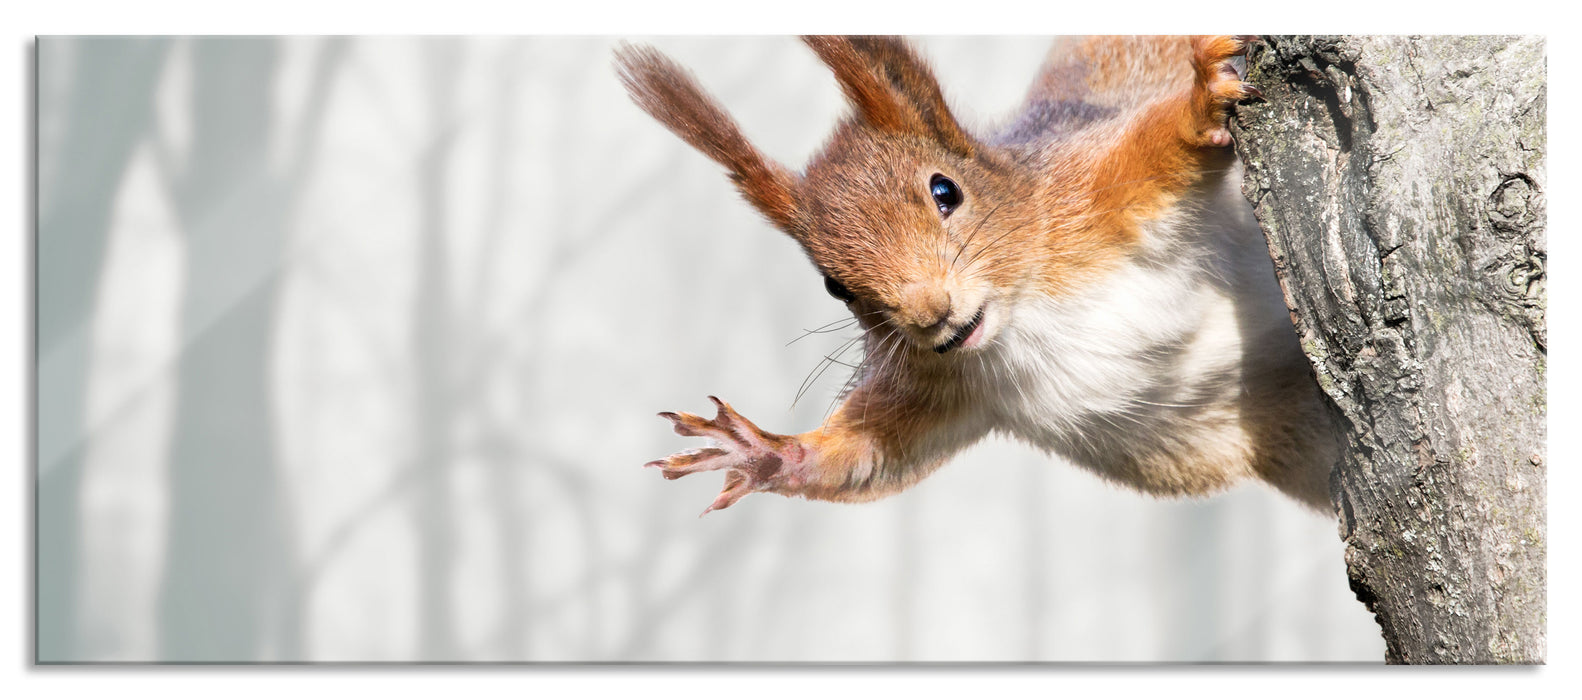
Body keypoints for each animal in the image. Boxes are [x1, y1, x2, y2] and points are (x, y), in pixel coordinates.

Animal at [616, 36, 1339, 516]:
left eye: (946, 191)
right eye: (833, 286)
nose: (930, 316)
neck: (1024, 313)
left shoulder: (1092, 191)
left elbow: (1159, 144)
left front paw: (1201, 101)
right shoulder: (939, 384)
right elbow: (869, 455)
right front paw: (760, 451)